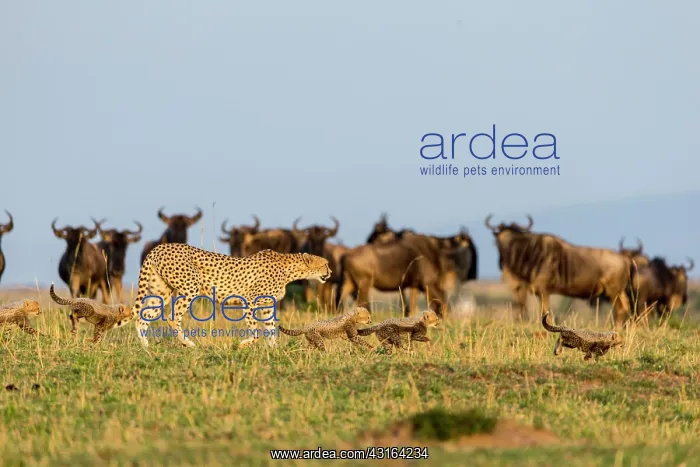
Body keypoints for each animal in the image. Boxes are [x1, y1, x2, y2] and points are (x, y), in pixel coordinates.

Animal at [133, 243, 331, 348]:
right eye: (325, 264)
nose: (330, 273)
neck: (289, 269)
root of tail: (159, 247)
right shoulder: (250, 301)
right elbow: (256, 330)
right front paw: (243, 345)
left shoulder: (267, 306)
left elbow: (270, 328)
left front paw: (274, 350)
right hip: (190, 287)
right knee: (172, 317)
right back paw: (188, 344)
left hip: (161, 292)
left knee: (143, 317)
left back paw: (146, 347)